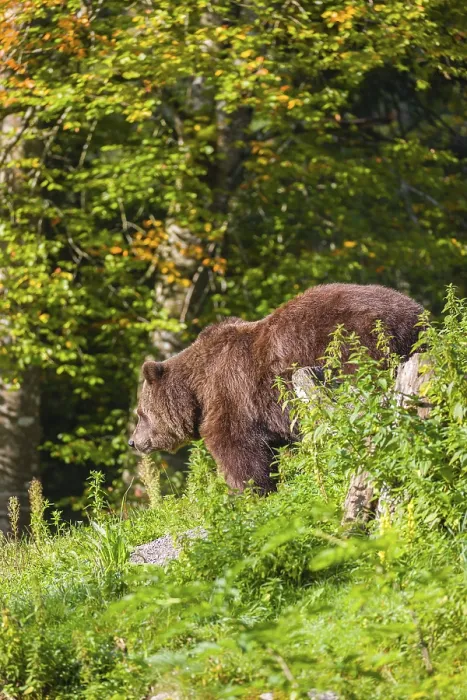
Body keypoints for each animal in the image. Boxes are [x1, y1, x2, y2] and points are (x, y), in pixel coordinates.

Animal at [129, 283, 424, 493]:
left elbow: (237, 448)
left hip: (353, 349)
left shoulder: (232, 396)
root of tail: (412, 313)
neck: (198, 393)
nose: (134, 441)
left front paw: (247, 492)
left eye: (140, 413)